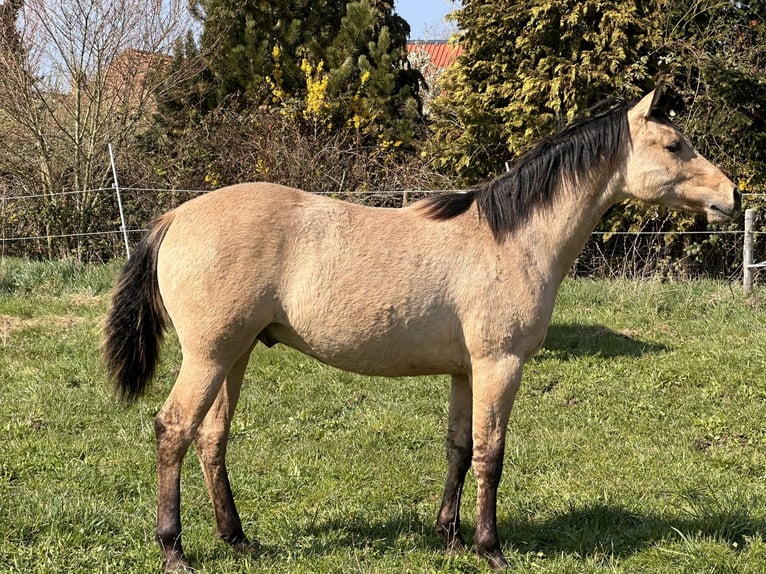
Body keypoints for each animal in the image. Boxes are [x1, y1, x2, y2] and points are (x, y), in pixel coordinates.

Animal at [103, 88, 741, 571]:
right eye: (674, 144)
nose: (733, 196)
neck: (511, 238)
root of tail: (176, 215)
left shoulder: (466, 371)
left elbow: (459, 448)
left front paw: (450, 535)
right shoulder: (499, 365)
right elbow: (491, 454)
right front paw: (490, 548)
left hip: (234, 356)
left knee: (211, 438)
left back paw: (237, 538)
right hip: (209, 356)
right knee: (173, 430)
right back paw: (174, 550)